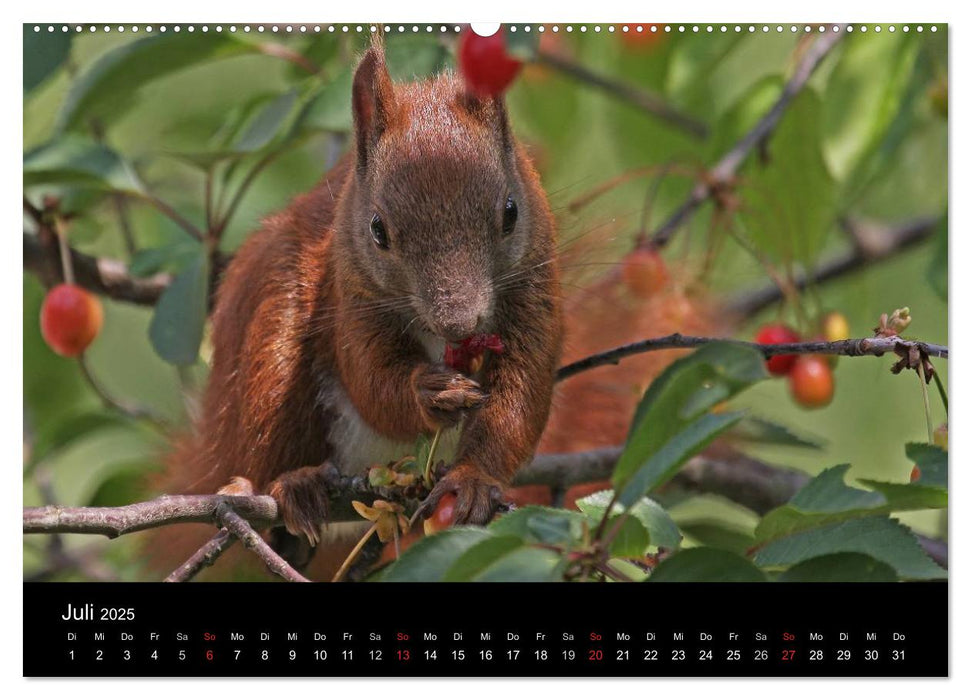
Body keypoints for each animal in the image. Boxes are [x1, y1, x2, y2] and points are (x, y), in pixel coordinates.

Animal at [174, 46, 564, 556]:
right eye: (378, 230)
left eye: (511, 212)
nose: (459, 323)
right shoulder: (350, 294)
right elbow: (369, 378)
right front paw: (429, 391)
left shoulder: (535, 288)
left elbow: (519, 395)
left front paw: (474, 480)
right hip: (270, 347)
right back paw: (291, 485)